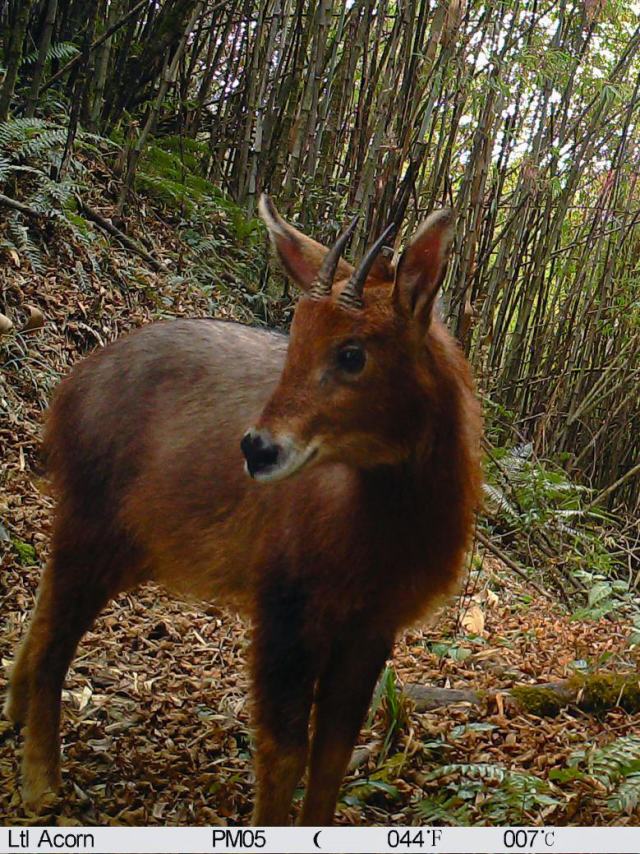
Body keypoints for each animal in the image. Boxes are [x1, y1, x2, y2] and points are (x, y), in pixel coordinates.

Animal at [5, 197, 480, 824]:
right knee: (57, 638)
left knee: (42, 612)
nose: (257, 448)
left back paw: (13, 719)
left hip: (128, 542)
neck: (380, 534)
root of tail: (70, 387)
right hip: (93, 519)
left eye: (353, 353)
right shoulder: (285, 602)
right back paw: (40, 785)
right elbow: (283, 753)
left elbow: (332, 754)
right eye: (294, 338)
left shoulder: (374, 624)